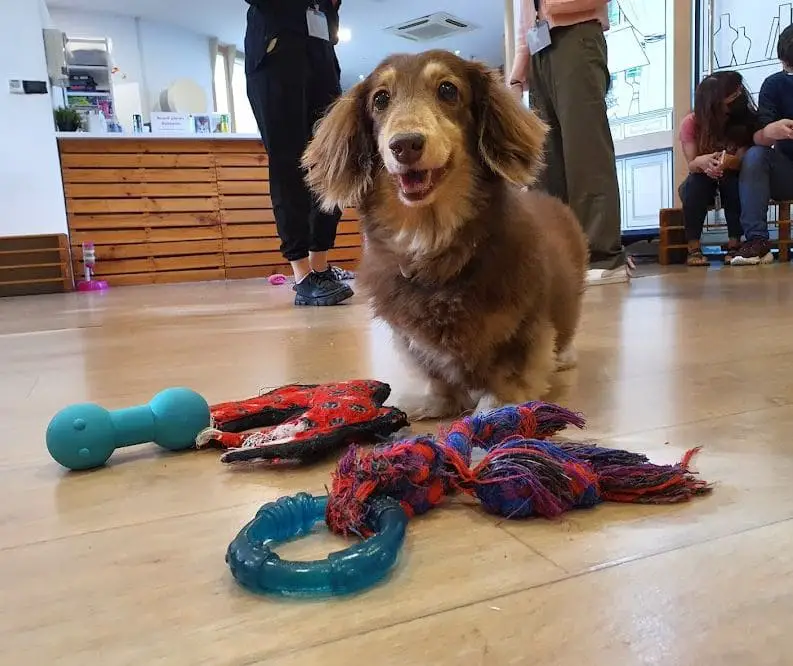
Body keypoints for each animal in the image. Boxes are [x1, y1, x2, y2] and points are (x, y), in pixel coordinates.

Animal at [300, 49, 584, 418]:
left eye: (448, 90)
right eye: (380, 99)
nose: (405, 145)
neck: (431, 243)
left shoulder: (524, 331)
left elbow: (509, 374)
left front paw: (494, 408)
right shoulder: (413, 342)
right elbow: (437, 378)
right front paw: (430, 402)